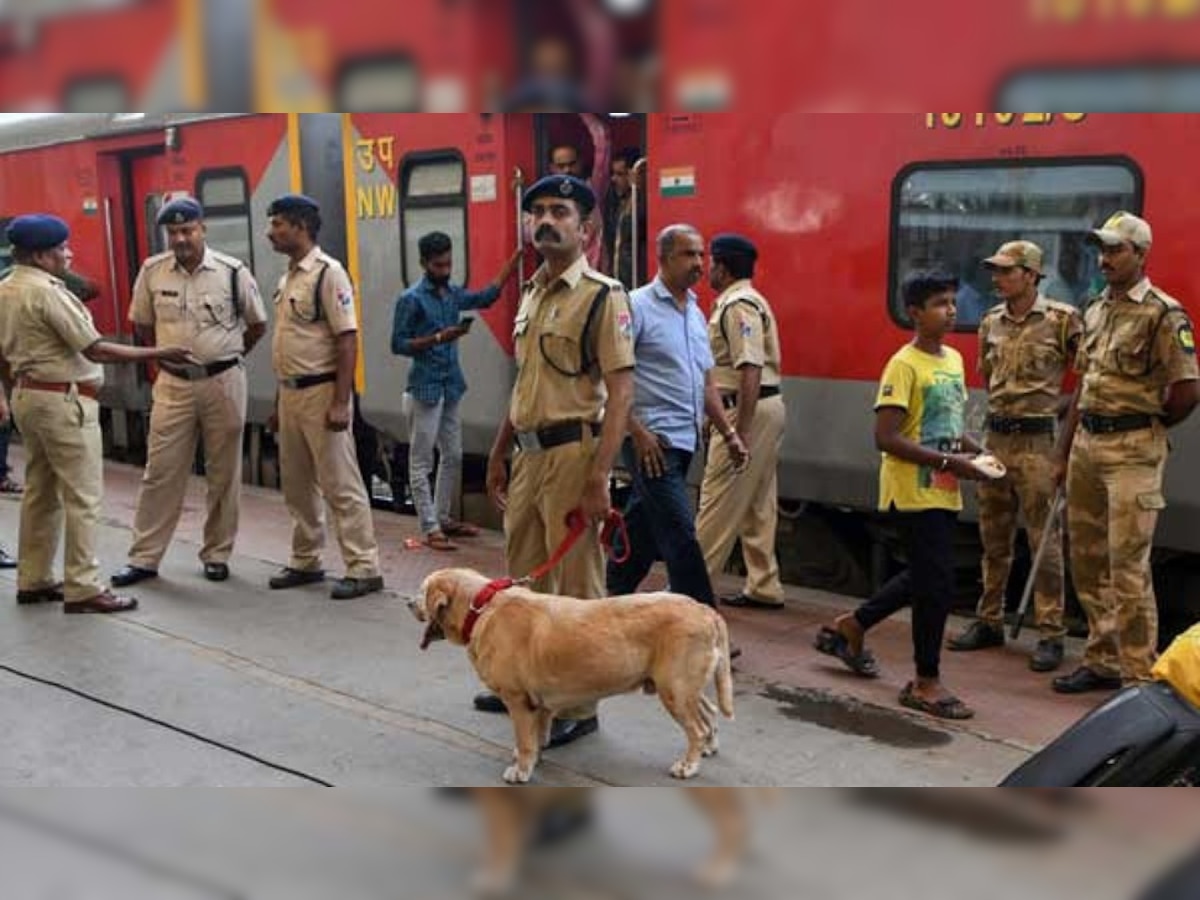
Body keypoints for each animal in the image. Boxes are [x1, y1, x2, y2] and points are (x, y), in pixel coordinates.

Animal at [410, 571, 729, 782]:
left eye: (422, 590)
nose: (409, 603)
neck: (480, 608)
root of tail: (705, 610)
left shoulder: (517, 700)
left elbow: (524, 739)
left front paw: (521, 770)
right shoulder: (539, 705)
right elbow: (537, 737)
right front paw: (534, 758)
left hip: (675, 689)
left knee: (696, 729)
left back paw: (688, 765)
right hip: (683, 687)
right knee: (710, 713)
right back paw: (709, 747)